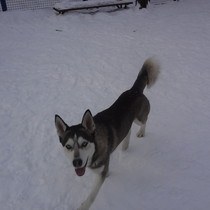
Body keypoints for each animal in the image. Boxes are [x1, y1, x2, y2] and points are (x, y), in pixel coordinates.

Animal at [55, 56, 160, 209]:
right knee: (127, 130)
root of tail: (134, 90)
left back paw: (141, 132)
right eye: (68, 146)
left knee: (145, 121)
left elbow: (92, 195)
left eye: (84, 143)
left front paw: (83, 206)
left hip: (139, 119)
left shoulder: (101, 172)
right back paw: (124, 146)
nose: (76, 162)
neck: (95, 149)